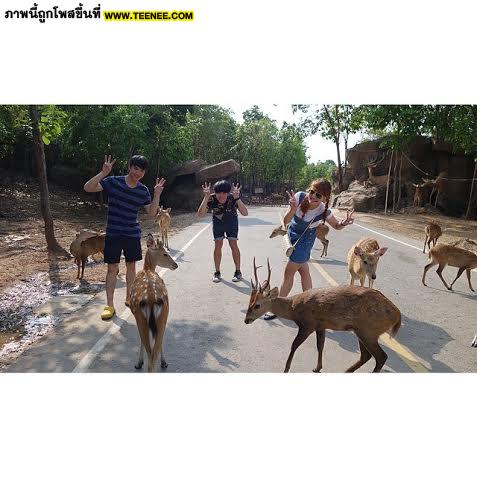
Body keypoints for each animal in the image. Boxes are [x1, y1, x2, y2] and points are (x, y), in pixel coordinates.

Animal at [129, 233, 178, 372]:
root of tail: (151, 300)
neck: (147, 269)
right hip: (163, 315)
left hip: (142, 318)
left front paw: (139, 362)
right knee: (154, 350)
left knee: (151, 354)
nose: (175, 265)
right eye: (165, 253)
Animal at [245, 256, 402, 372]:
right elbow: (320, 345)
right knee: (366, 355)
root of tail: (397, 315)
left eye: (257, 305)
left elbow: (294, 345)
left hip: (369, 330)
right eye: (249, 302)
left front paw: (286, 369)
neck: (294, 309)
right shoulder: (321, 325)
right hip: (363, 331)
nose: (246, 320)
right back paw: (347, 371)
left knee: (381, 357)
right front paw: (317, 367)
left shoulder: (308, 324)